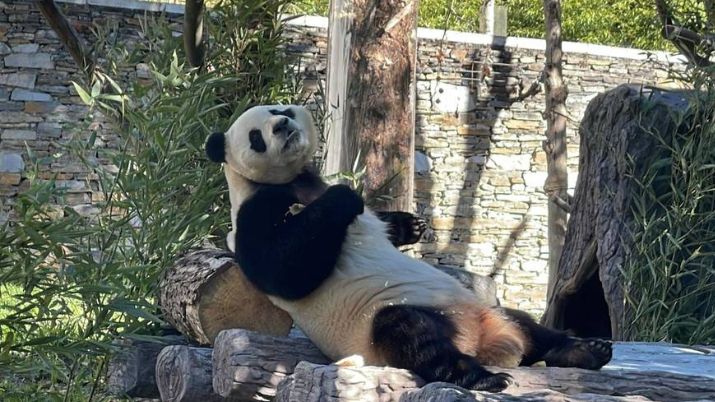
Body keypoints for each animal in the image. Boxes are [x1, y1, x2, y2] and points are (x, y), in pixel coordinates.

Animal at [205, 105, 612, 392]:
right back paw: (481, 377)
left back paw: (584, 350)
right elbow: (284, 269)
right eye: (256, 137)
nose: (281, 126)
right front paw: (345, 197)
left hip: (482, 307)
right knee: (412, 334)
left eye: (283, 110)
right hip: (381, 321)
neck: (296, 180)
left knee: (529, 325)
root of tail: (488, 344)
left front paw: (409, 225)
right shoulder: (256, 210)